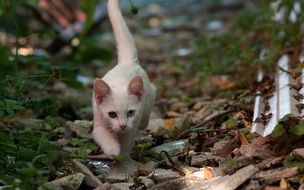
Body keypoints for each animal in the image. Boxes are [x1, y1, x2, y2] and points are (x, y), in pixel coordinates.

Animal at [91, 0, 156, 157]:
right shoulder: (98, 120)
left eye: (130, 112)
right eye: (112, 114)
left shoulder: (133, 124)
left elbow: (128, 140)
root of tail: (126, 61)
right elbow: (103, 135)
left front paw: (124, 155)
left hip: (150, 95)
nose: (122, 125)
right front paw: (113, 149)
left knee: (144, 118)